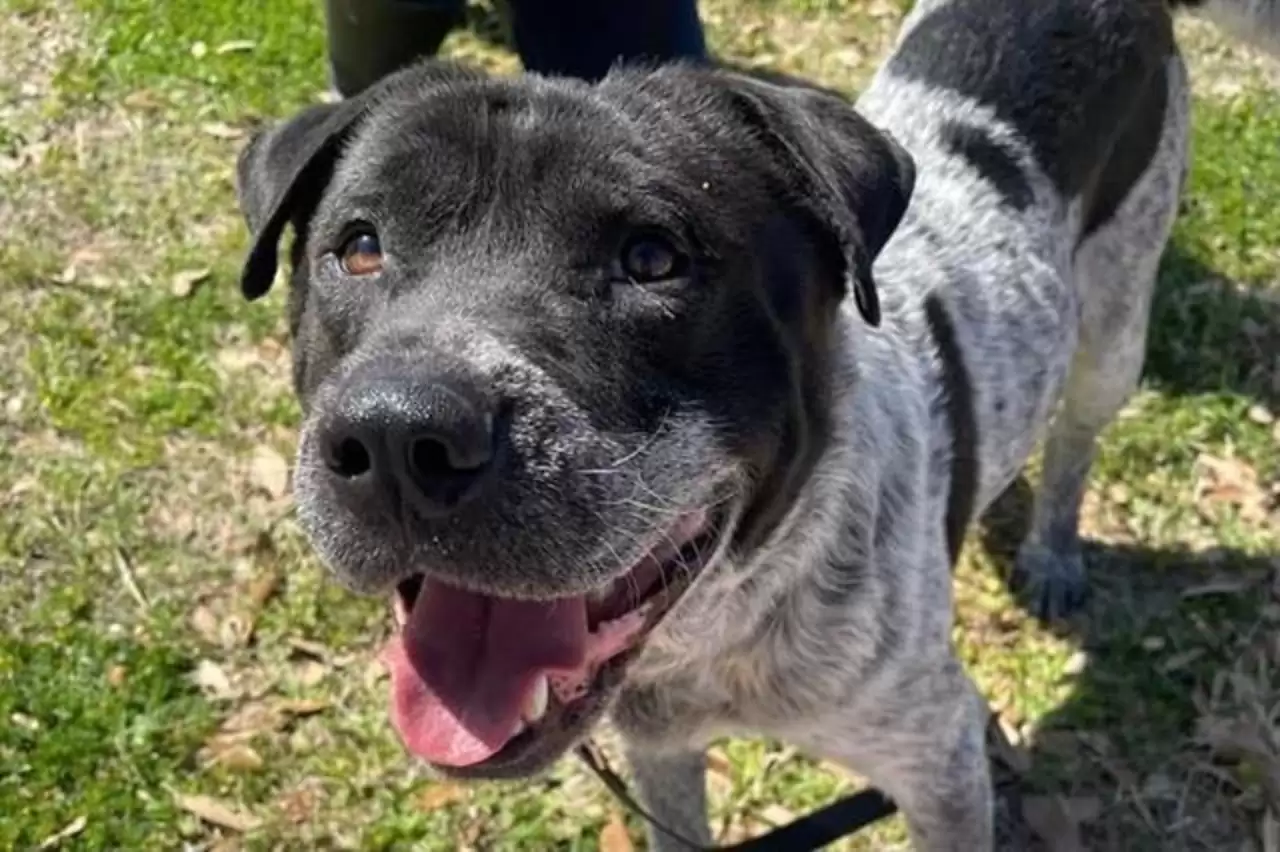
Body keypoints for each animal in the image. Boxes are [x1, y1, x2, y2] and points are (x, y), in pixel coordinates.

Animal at [232, 0, 1280, 844]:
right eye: (360, 248)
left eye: (651, 259)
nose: (399, 438)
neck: (723, 626)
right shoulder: (662, 757)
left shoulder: (940, 761)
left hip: (1118, 318)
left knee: (1076, 437)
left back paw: (1054, 549)